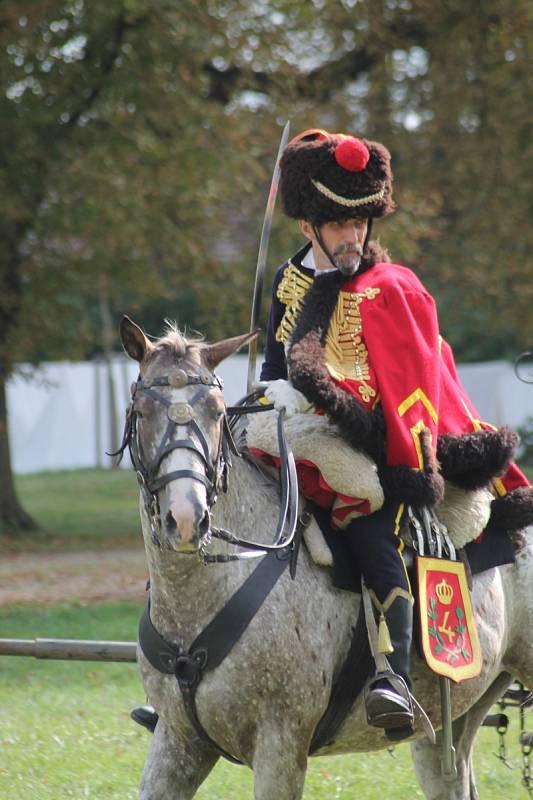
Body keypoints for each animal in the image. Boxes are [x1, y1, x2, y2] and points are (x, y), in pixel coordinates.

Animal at [120, 318, 532, 800]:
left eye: (218, 413)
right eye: (141, 411)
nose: (186, 518)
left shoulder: (281, 744)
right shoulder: (178, 741)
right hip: (449, 728)